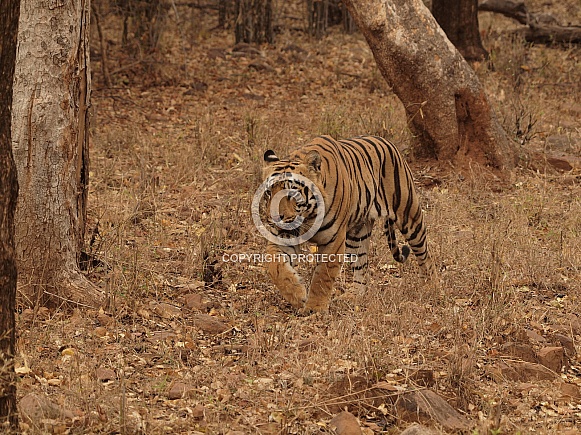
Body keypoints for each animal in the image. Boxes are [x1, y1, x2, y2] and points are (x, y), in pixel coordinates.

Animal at [256, 135, 432, 312]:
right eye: (269, 192)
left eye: (292, 192)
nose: (275, 218)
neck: (308, 216)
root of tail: (386, 141)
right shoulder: (284, 236)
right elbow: (276, 267)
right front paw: (297, 295)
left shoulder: (333, 241)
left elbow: (322, 276)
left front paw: (315, 308)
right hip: (357, 235)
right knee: (361, 266)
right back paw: (353, 296)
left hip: (409, 215)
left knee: (424, 254)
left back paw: (430, 286)